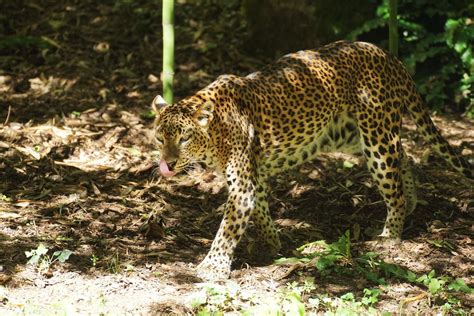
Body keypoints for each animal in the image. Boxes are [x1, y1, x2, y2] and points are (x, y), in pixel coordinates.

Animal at [151, 40, 470, 280]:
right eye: (159, 139)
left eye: (184, 138)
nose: (168, 163)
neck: (215, 134)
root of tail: (389, 56)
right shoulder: (254, 176)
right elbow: (261, 210)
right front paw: (271, 244)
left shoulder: (242, 185)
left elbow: (228, 228)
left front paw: (213, 266)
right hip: (352, 137)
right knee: (404, 155)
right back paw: (411, 201)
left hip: (375, 136)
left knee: (392, 178)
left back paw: (390, 234)